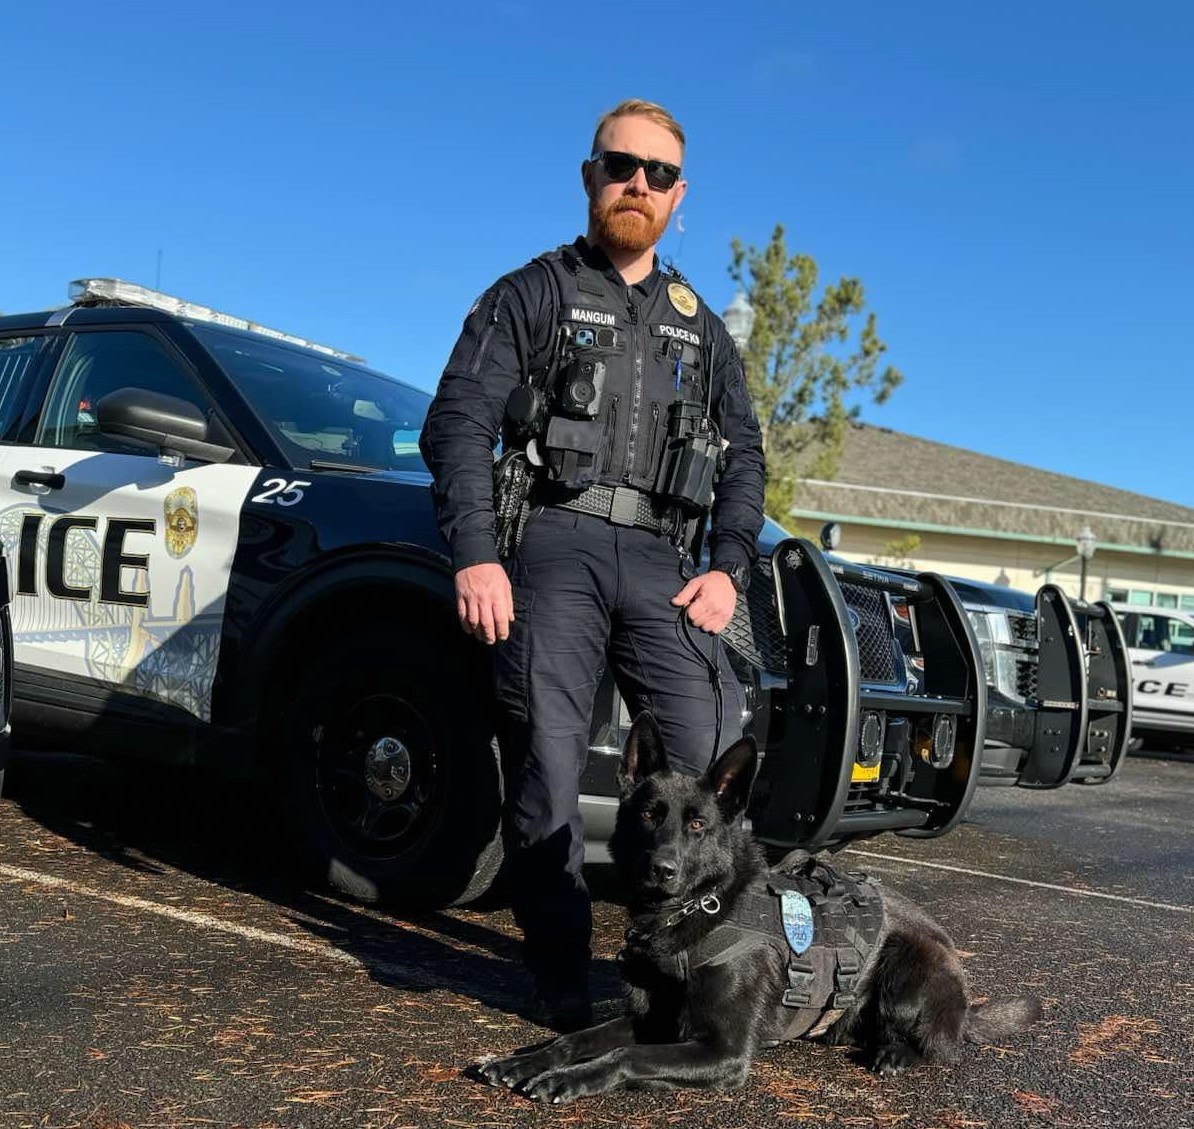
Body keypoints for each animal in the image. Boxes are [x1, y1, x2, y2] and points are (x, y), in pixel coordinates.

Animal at [479, 711, 1041, 1097]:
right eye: (648, 814)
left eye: (698, 824)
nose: (661, 869)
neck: (696, 913)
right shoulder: (656, 1019)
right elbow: (580, 1038)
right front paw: (527, 1061)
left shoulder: (722, 1051)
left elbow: (626, 1054)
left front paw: (570, 1079)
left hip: (910, 969)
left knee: (944, 1048)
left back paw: (898, 1052)